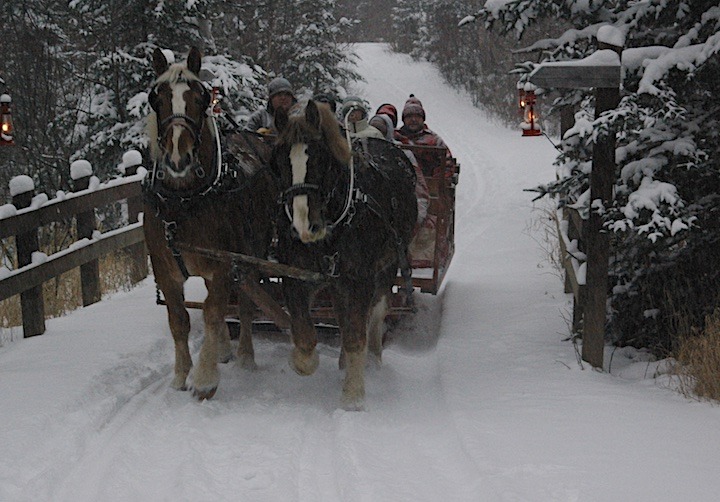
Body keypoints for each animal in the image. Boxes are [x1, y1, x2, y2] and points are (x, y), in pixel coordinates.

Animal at [145, 48, 274, 400]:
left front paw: (204, 379)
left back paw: (244, 356)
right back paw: (225, 351)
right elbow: (180, 319)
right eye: (156, 99)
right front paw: (180, 375)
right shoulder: (164, 270)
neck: (183, 201)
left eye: (200, 97)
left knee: (244, 305)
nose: (178, 158)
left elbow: (215, 312)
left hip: (252, 255)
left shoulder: (223, 264)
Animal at [270, 100, 416, 410]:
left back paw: (371, 360)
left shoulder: (359, 279)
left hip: (386, 266)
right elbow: (304, 334)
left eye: (320, 158)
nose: (304, 226)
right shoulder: (296, 275)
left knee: (375, 311)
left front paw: (353, 395)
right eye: (277, 162)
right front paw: (301, 361)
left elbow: (356, 333)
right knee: (342, 314)